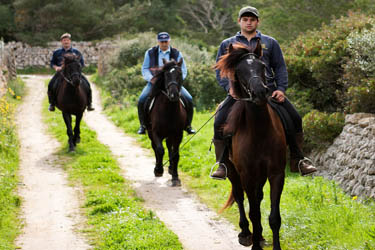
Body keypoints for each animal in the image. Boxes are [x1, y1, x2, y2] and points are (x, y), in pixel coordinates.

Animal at [146, 58, 188, 187]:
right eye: (166, 75)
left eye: (180, 74)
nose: (173, 94)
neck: (169, 110)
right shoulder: (155, 133)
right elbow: (160, 150)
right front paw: (159, 169)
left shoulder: (178, 134)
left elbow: (175, 155)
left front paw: (175, 177)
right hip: (150, 133)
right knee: (155, 147)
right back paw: (158, 168)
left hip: (170, 135)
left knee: (169, 147)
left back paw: (170, 168)